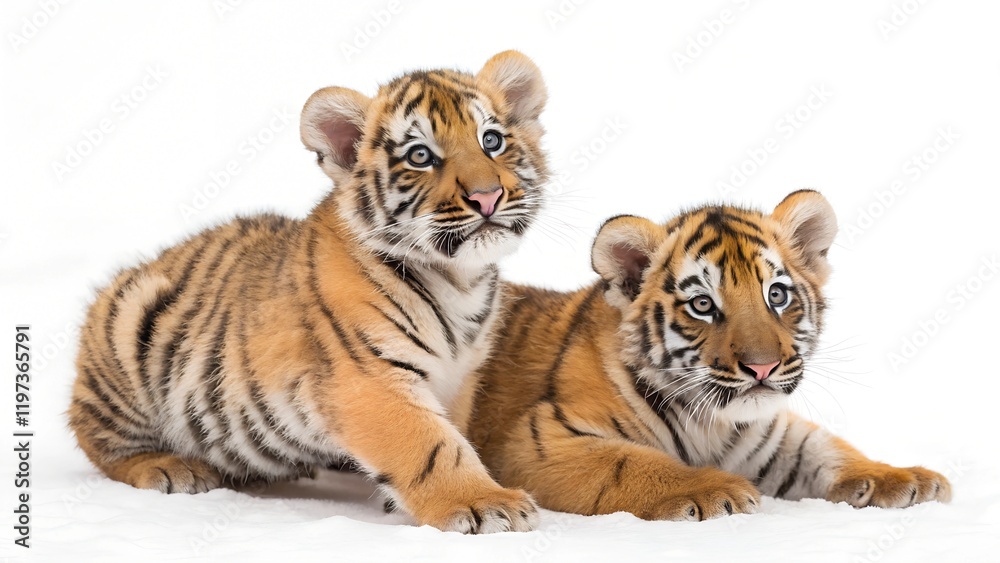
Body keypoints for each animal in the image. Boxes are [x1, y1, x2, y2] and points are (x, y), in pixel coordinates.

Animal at [68, 51, 550, 534]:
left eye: (491, 140)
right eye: (420, 156)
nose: (487, 197)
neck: (459, 279)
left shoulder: (460, 377)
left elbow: (454, 431)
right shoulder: (367, 377)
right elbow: (433, 446)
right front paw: (485, 503)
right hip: (129, 319)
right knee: (98, 439)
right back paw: (169, 467)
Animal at [468, 190, 952, 521]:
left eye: (777, 295)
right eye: (703, 305)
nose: (762, 366)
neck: (714, 424)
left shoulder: (775, 433)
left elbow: (826, 449)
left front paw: (904, 477)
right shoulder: (539, 439)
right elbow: (628, 462)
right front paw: (714, 489)